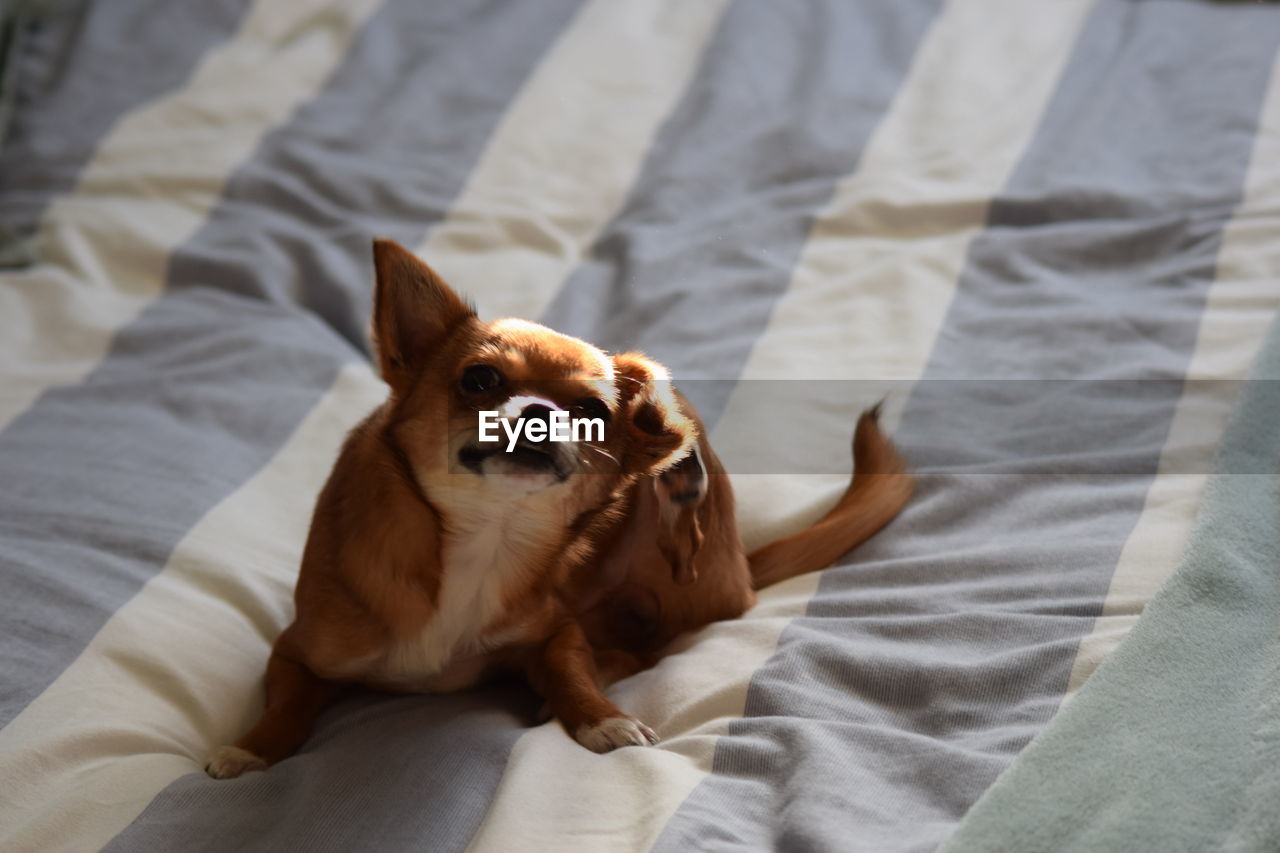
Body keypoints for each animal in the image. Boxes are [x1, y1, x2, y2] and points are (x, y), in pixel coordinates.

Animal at [207, 239, 911, 778]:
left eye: (593, 411)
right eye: (480, 379)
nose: (541, 412)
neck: (487, 536)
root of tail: (740, 563)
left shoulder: (556, 630)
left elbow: (571, 668)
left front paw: (602, 718)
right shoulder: (294, 654)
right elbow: (286, 705)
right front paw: (250, 749)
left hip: (677, 563)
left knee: (649, 634)